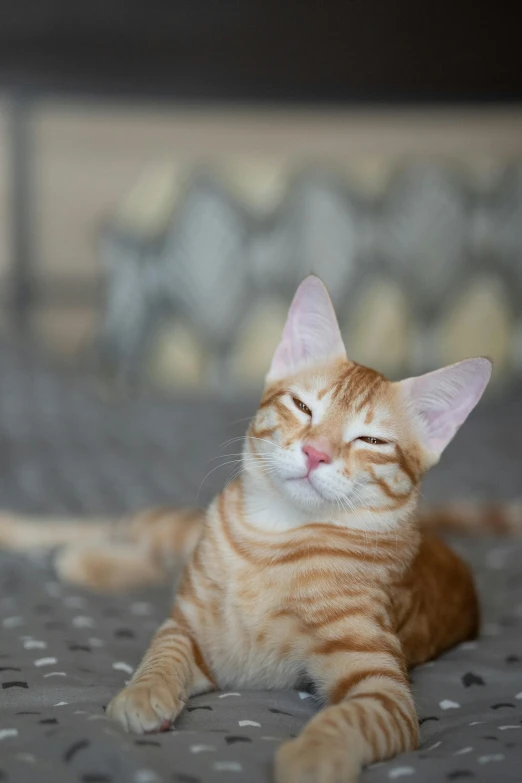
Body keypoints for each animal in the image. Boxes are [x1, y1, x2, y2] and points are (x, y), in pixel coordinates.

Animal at [0, 272, 516, 780]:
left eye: (371, 441)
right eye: (303, 407)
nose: (316, 453)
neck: (272, 538)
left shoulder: (382, 686)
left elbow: (353, 716)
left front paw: (314, 757)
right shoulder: (190, 629)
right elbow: (163, 651)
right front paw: (143, 692)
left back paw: (85, 562)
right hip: (173, 531)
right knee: (119, 525)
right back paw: (32, 534)